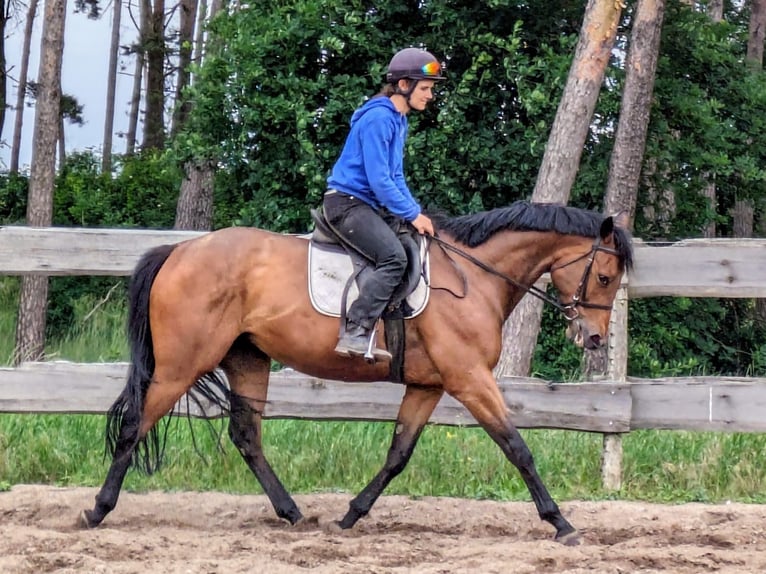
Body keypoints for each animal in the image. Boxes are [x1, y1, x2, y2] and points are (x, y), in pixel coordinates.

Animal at [81, 201, 636, 544]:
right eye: (605, 276)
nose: (593, 339)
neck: (474, 277)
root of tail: (179, 250)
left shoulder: (429, 385)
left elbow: (398, 454)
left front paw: (351, 514)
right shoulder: (469, 379)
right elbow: (517, 447)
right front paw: (561, 523)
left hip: (247, 359)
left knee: (246, 435)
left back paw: (293, 513)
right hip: (181, 364)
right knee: (135, 425)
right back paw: (98, 509)